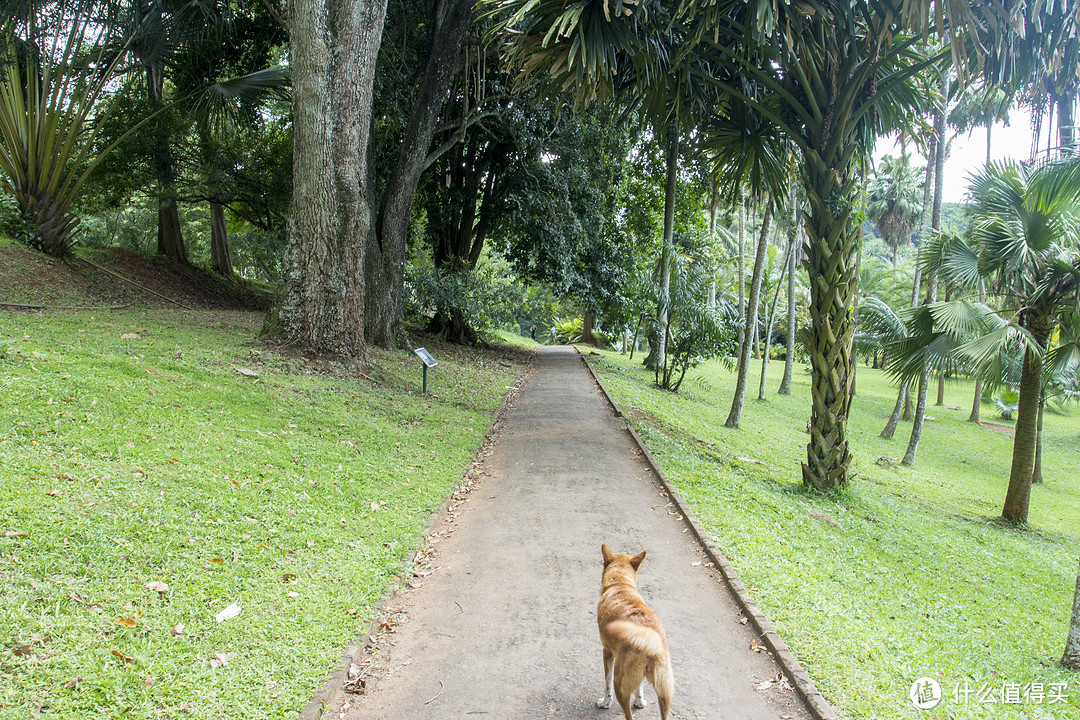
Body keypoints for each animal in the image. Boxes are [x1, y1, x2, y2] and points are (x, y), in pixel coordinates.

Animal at [596, 546, 669, 720]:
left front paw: (605, 702)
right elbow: (640, 686)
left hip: (620, 685)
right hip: (664, 693)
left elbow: (607, 684)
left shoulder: (607, 652)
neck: (620, 584)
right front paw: (640, 701)